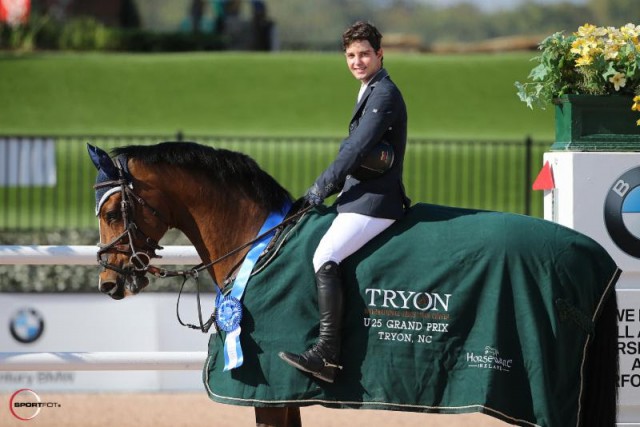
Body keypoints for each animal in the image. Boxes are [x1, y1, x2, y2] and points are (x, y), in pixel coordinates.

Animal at [87, 142, 616, 426]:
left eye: (113, 212)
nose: (109, 282)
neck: (258, 240)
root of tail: (593, 253)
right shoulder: (283, 396)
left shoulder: (266, 393)